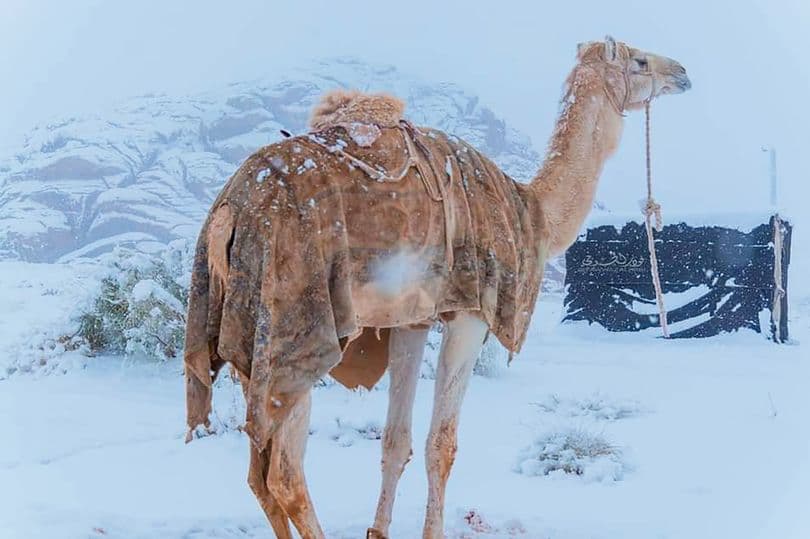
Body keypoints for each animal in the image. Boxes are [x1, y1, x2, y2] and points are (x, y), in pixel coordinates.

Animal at [183, 38, 688, 539]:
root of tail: (228, 212)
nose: (681, 72)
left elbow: (395, 441)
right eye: (640, 60)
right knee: (284, 475)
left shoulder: (412, 319)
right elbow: (441, 445)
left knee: (259, 473)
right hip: (293, 325)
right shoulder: (471, 312)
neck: (531, 213)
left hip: (249, 334)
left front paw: (378, 530)